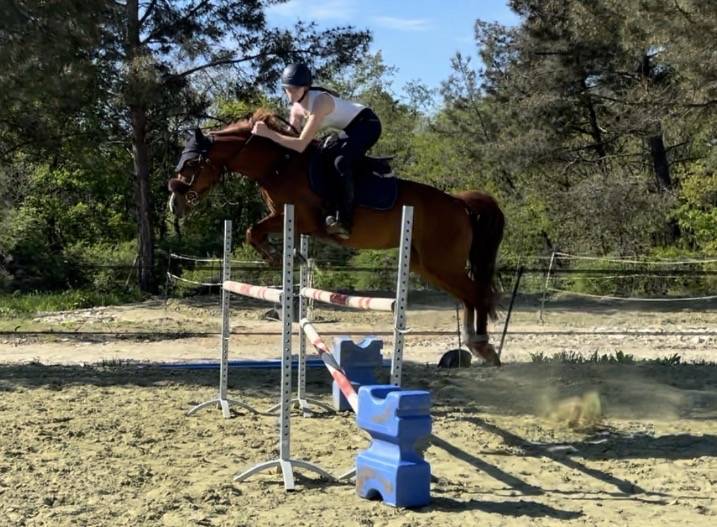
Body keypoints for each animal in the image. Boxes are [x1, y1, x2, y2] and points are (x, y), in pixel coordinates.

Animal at [168, 109, 505, 365]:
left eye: (192, 163)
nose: (175, 202)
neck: (279, 165)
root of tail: (459, 203)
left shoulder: (298, 217)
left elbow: (254, 231)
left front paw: (276, 257)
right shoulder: (293, 221)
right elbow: (258, 232)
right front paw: (289, 256)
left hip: (441, 262)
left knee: (479, 293)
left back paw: (483, 346)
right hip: (429, 266)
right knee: (470, 295)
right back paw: (477, 346)